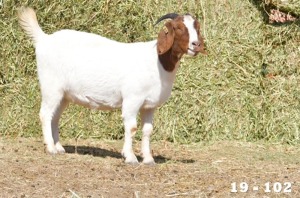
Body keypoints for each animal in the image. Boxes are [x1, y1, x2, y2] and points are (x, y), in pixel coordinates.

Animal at [18, 7, 206, 166]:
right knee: (45, 114)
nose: (196, 45)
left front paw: (148, 159)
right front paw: (130, 157)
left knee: (55, 117)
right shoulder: (132, 99)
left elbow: (147, 130)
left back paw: (59, 147)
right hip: (51, 87)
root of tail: (44, 39)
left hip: (64, 94)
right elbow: (132, 127)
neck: (157, 61)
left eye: (196, 27)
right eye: (178, 27)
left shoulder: (149, 105)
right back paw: (50, 148)